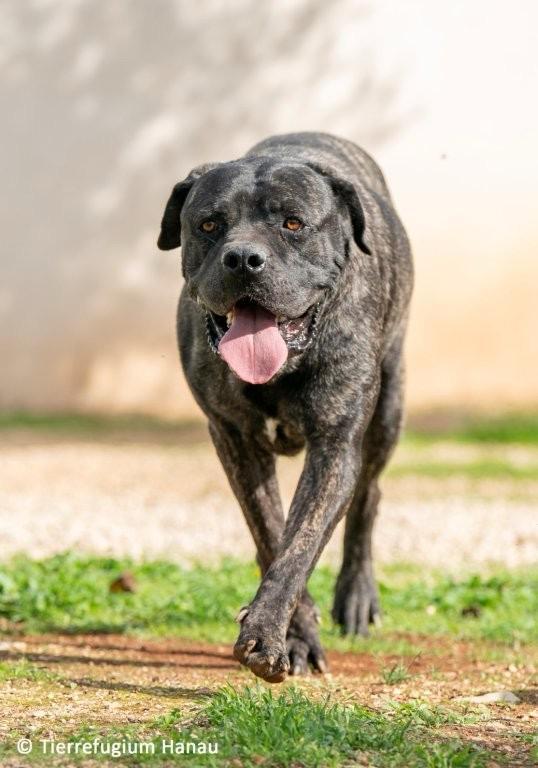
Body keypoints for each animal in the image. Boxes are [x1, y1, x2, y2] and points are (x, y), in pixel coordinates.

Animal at [158, 132, 413, 683]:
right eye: (209, 224)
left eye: (293, 224)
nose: (242, 259)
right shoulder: (233, 439)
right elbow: (273, 533)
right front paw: (295, 630)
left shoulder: (335, 445)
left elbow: (301, 544)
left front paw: (266, 635)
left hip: (389, 404)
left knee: (370, 494)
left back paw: (356, 597)